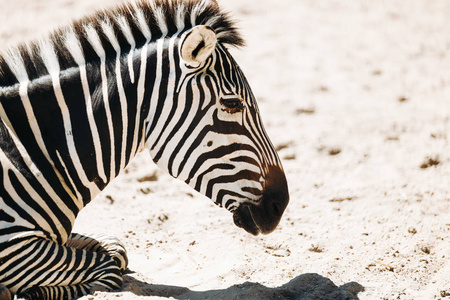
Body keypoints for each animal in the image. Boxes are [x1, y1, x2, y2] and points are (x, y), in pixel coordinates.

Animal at [0, 0, 288, 298]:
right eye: (232, 104)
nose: (281, 203)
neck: (36, 152)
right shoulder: (13, 246)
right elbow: (108, 268)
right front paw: (31, 291)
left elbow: (116, 249)